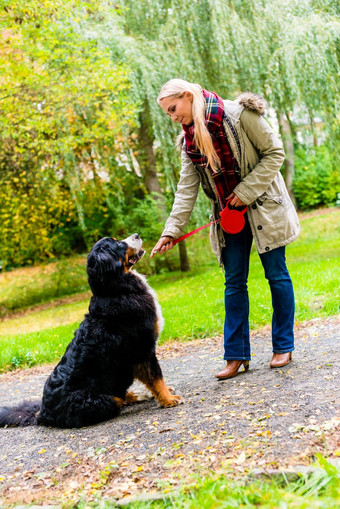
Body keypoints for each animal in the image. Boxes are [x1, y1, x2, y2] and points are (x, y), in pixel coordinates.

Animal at [0, 236, 183, 426]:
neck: (116, 290)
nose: (137, 235)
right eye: (118, 243)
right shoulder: (143, 348)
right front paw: (168, 399)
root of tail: (42, 414)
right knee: (118, 399)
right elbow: (156, 377)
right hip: (104, 400)